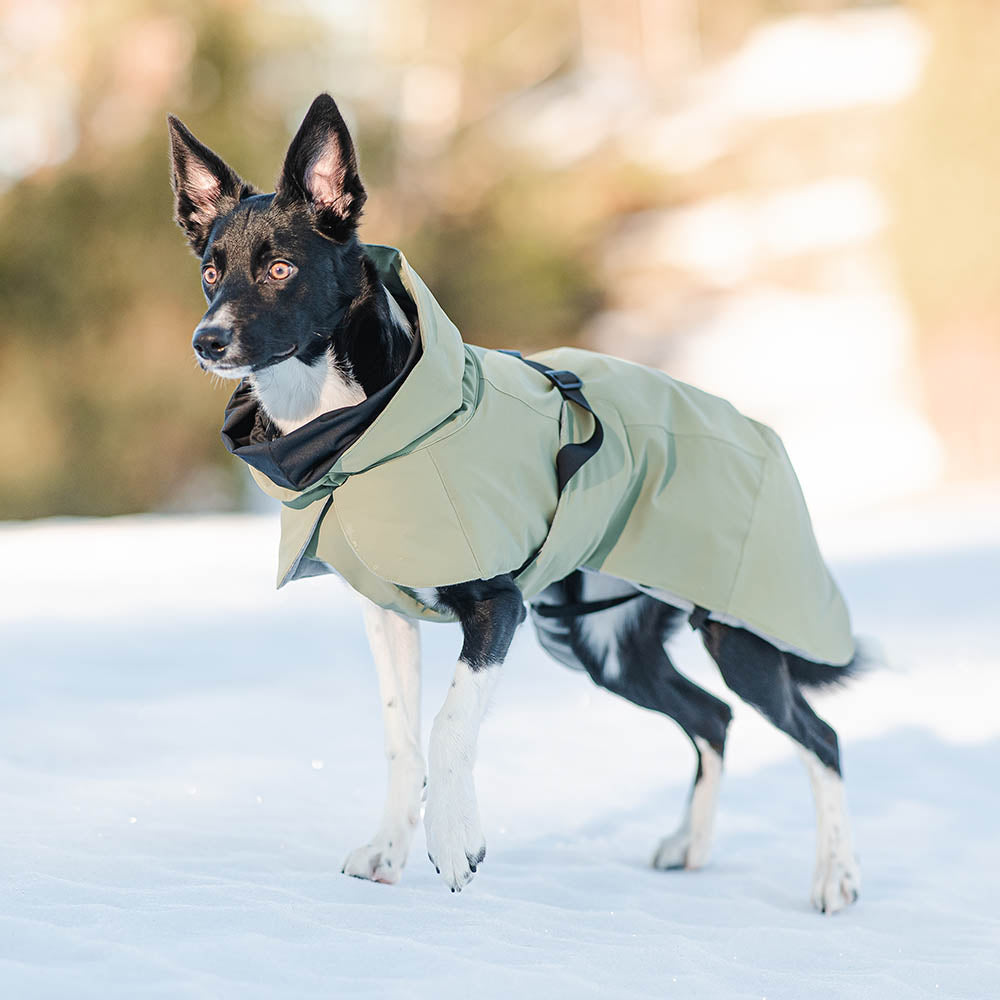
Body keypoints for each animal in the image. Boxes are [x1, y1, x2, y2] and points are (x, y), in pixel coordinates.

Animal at [168, 94, 864, 916]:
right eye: (211, 271)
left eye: (280, 269)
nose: (207, 342)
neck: (355, 429)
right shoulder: (387, 614)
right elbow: (403, 736)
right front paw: (389, 851)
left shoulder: (497, 607)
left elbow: (449, 724)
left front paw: (453, 844)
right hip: (606, 645)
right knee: (713, 717)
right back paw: (689, 846)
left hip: (736, 630)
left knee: (819, 735)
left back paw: (835, 877)